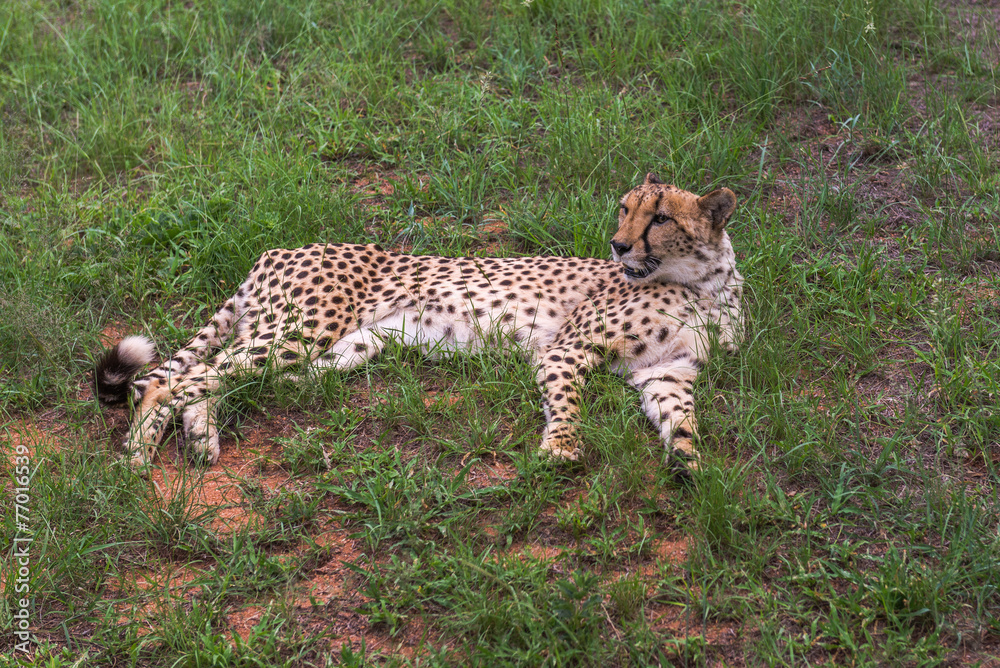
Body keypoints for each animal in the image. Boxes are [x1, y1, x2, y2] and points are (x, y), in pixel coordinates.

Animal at [93, 174, 743, 476]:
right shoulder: (566, 350)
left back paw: (199, 437)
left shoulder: (667, 373)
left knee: (205, 376)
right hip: (301, 331)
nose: (617, 244)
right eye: (625, 210)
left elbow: (682, 421)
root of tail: (280, 249)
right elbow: (567, 402)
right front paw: (561, 448)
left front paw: (692, 467)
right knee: (170, 378)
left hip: (334, 351)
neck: (704, 284)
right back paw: (138, 455)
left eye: (659, 218)